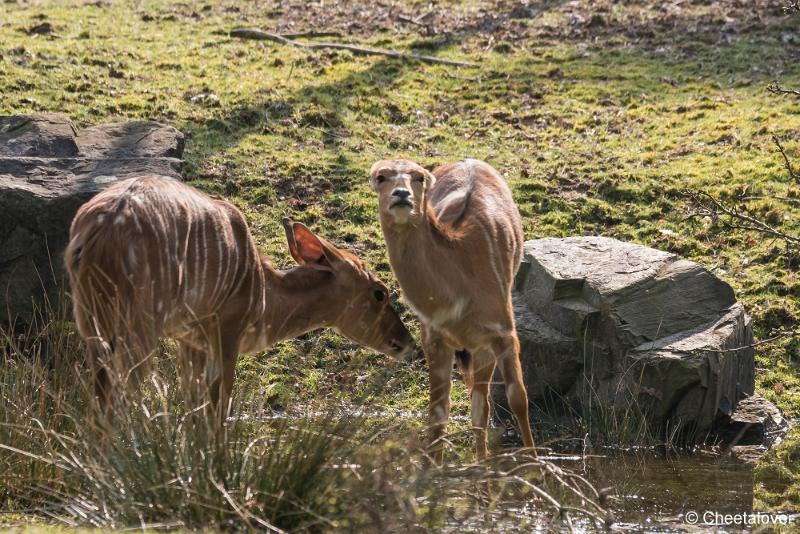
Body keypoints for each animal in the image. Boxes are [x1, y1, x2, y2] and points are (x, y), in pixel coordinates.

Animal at [66, 176, 416, 422]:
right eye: (379, 292)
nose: (406, 342)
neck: (261, 290)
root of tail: (100, 234)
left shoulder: (189, 339)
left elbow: (192, 408)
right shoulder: (227, 329)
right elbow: (217, 409)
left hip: (92, 325)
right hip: (139, 327)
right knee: (121, 398)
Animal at [370, 158, 536, 464]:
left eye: (419, 177)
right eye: (381, 176)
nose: (402, 194)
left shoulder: (504, 331)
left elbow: (518, 398)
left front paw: (537, 468)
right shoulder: (434, 338)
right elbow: (437, 411)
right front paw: (432, 470)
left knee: (483, 401)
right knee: (477, 401)